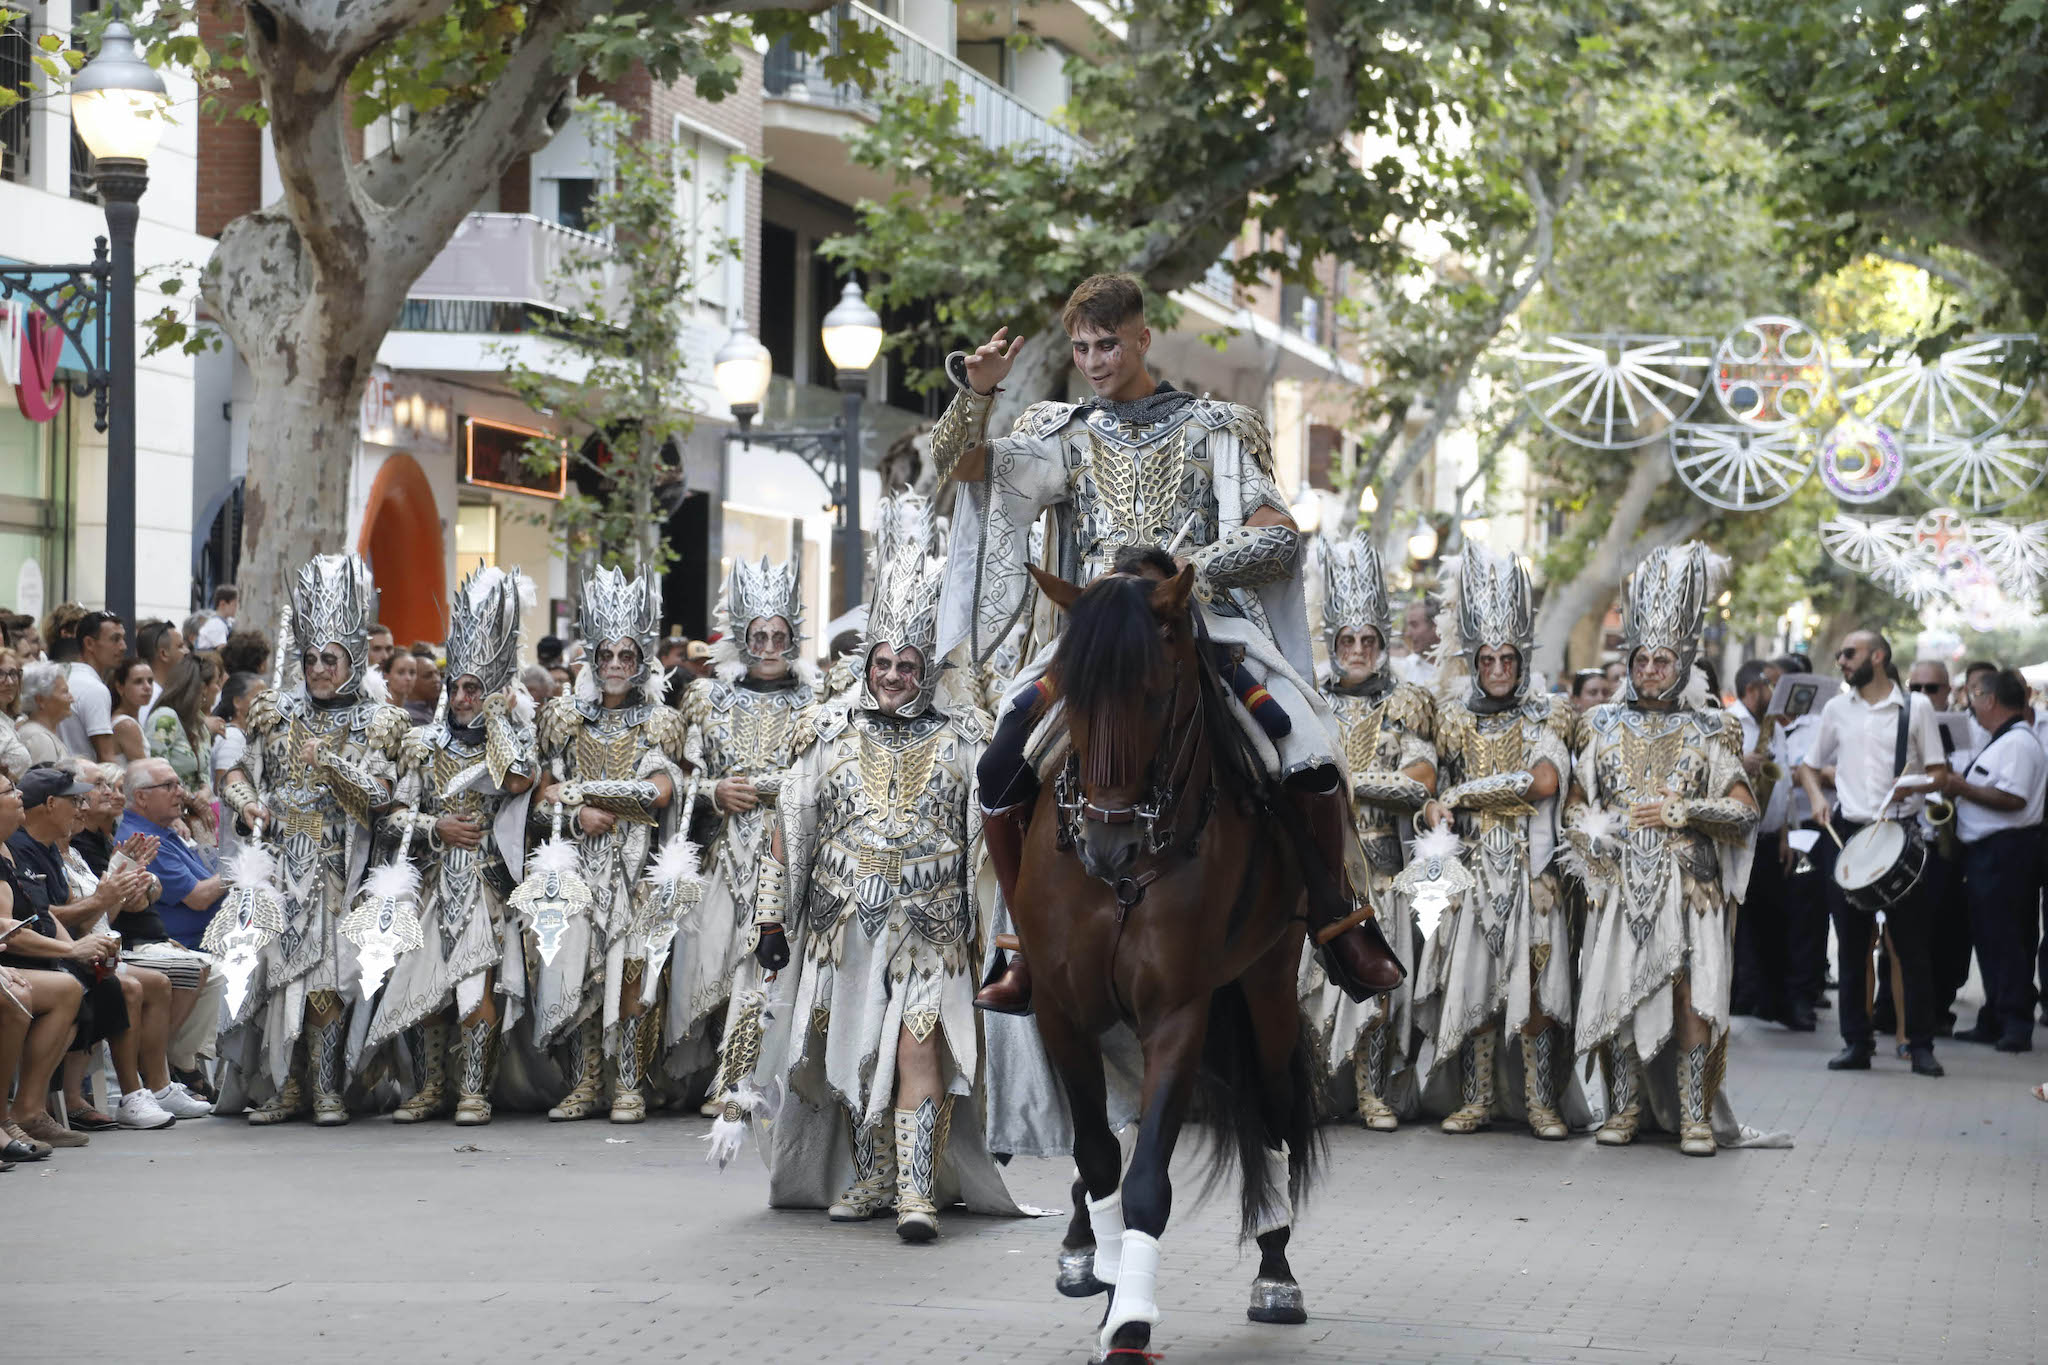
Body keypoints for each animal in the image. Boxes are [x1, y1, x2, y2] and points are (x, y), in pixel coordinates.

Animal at [1015, 560, 1318, 1358]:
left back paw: (1276, 1270)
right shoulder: (1062, 1008)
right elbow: (1098, 1153)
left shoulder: (1178, 1009)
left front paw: (1130, 1320)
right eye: (1071, 694)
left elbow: (1149, 1175)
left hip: (1268, 979)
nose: (1107, 844)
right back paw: (1086, 1251)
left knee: (1272, 1106)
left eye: (1156, 693)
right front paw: (1109, 1285)